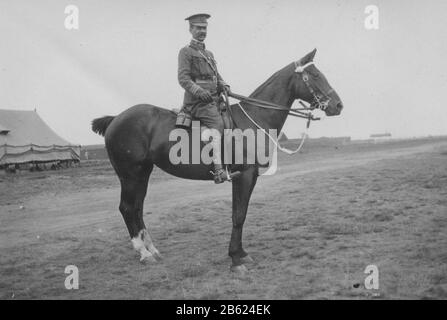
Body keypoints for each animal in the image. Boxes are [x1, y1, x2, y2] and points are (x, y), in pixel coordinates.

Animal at [90, 48, 344, 272]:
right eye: (315, 75)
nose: (338, 105)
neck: (253, 119)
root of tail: (116, 118)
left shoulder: (248, 177)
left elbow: (240, 213)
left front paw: (240, 253)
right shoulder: (245, 175)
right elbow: (238, 214)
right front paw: (236, 258)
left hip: (143, 173)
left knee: (137, 208)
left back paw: (151, 249)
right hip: (130, 174)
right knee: (127, 208)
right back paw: (143, 253)